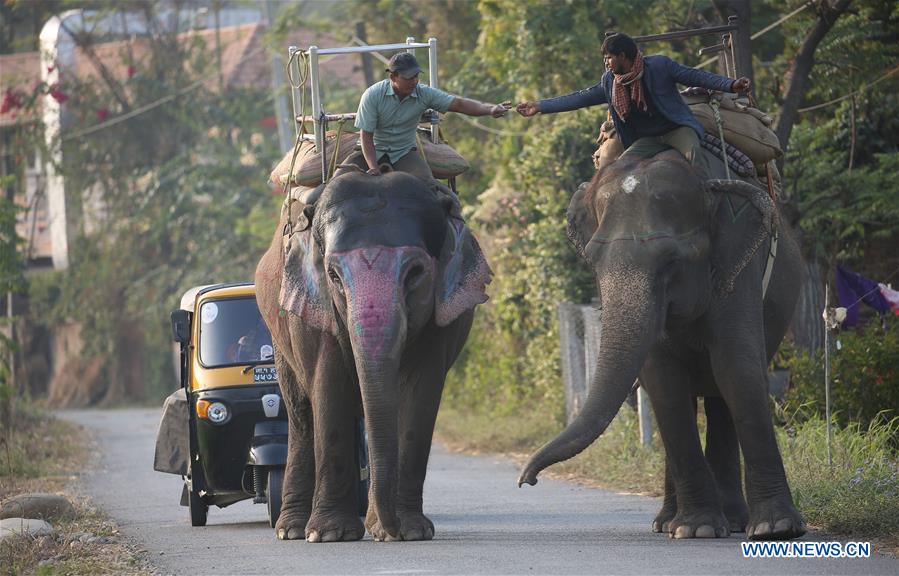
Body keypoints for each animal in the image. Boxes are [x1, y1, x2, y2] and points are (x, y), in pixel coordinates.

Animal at [255, 171, 492, 542]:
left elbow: (419, 395)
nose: (389, 530)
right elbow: (329, 387)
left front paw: (410, 531)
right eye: (333, 275)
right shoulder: (316, 310)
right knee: (300, 413)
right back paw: (292, 530)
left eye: (415, 273)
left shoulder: (439, 322)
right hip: (281, 333)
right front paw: (329, 534)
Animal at [518, 148, 806, 541]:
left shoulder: (740, 267)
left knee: (720, 395)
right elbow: (663, 381)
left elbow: (737, 367)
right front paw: (697, 528)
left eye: (672, 261)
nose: (527, 480)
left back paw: (733, 521)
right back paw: (669, 522)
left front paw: (775, 528)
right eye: (592, 261)